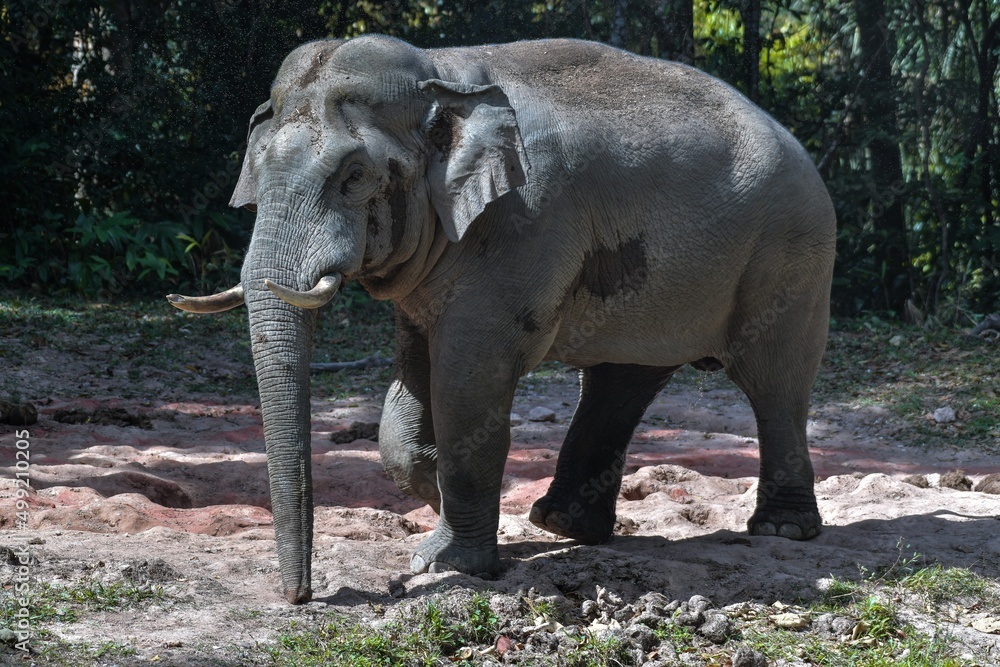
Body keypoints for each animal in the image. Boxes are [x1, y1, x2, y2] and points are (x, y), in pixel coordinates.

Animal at [170, 34, 836, 604]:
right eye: (255, 172)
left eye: (353, 177)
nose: (303, 597)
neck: (441, 75)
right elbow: (412, 386)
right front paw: (434, 490)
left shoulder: (521, 226)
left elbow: (467, 382)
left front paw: (443, 563)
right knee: (621, 379)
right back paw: (563, 525)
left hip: (791, 253)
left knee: (773, 382)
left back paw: (782, 531)